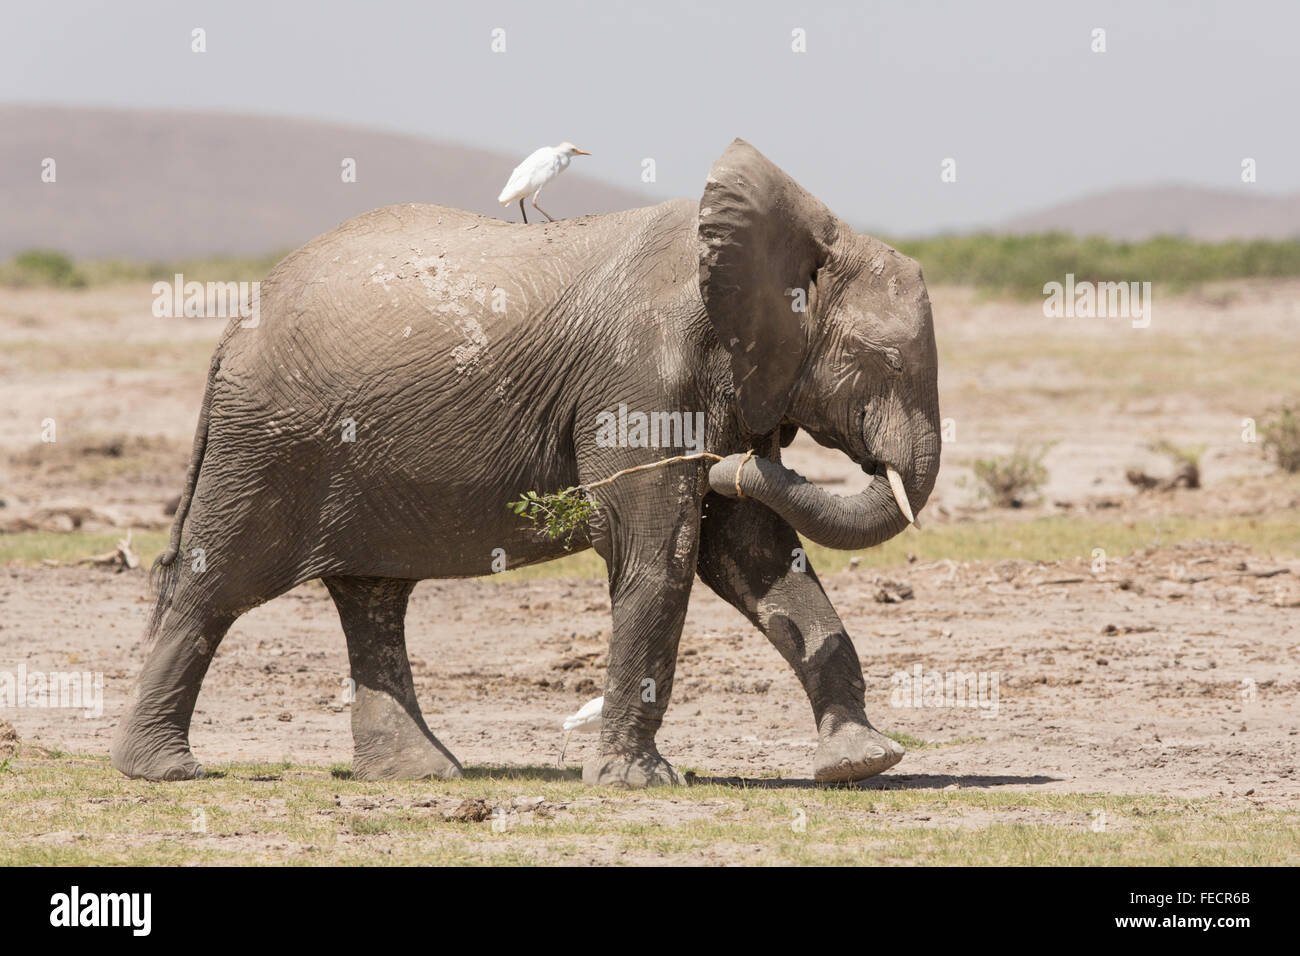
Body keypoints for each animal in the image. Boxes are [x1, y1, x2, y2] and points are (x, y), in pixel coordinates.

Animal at [111, 138, 941, 790]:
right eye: (885, 361)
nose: (748, 452)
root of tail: (233, 330)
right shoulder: (639, 376)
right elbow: (656, 548)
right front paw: (639, 783)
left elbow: (753, 552)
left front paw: (862, 761)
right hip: (266, 440)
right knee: (215, 585)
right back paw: (164, 771)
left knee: (372, 596)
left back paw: (420, 774)